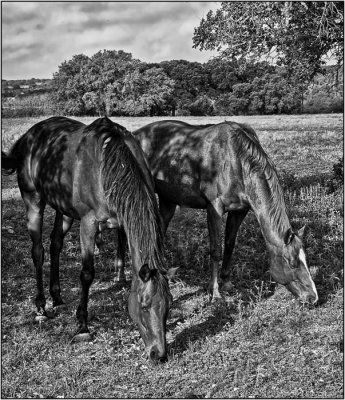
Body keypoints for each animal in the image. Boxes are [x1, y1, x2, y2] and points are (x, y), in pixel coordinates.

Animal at [0, 115, 175, 362]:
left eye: (168, 306)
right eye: (144, 306)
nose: (159, 354)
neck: (112, 167)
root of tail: (27, 137)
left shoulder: (122, 221)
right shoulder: (88, 224)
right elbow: (87, 274)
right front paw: (82, 325)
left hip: (64, 210)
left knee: (55, 245)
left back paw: (57, 296)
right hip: (33, 201)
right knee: (38, 251)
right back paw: (41, 307)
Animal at [123, 120, 318, 304]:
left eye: (306, 259)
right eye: (291, 262)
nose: (313, 297)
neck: (237, 161)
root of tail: (134, 135)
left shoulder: (239, 211)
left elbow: (230, 244)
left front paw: (227, 281)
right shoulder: (214, 208)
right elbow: (216, 249)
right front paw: (215, 292)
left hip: (168, 201)